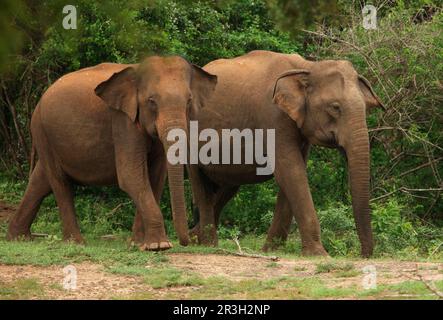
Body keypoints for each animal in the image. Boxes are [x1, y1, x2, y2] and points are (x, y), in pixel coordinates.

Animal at [5, 55, 217, 250]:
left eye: (189, 101)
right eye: (151, 101)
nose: (186, 242)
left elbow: (155, 178)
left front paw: (139, 244)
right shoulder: (122, 119)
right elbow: (131, 176)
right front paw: (159, 246)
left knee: (40, 180)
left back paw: (18, 238)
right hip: (41, 130)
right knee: (59, 182)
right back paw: (76, 243)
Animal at [181, 50, 386, 258]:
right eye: (335, 107)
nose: (363, 254)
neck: (307, 68)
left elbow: (294, 172)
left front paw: (270, 250)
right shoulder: (273, 117)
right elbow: (291, 170)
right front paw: (319, 254)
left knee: (227, 187)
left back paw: (196, 237)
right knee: (201, 185)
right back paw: (208, 244)